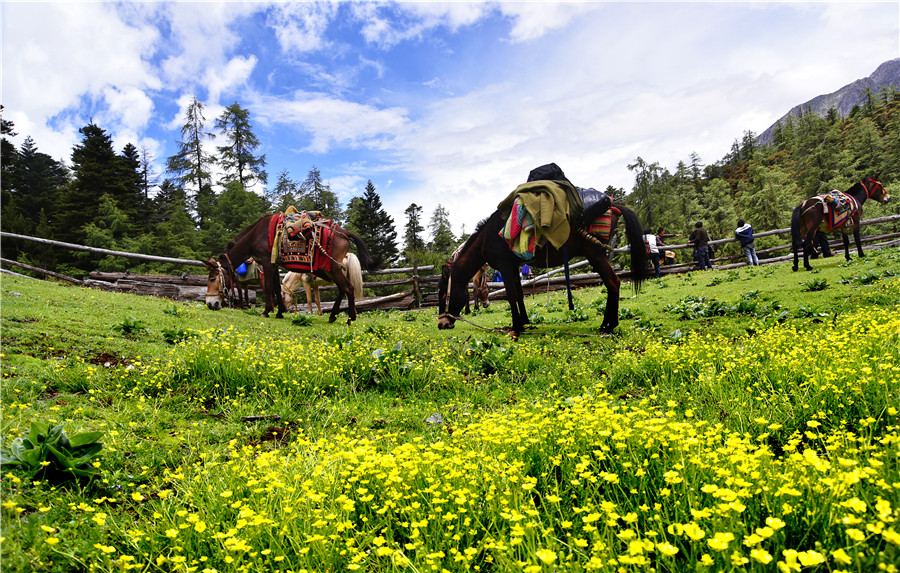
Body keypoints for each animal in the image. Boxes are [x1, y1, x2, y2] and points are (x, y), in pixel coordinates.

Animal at [215, 214, 376, 322]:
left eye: (214, 276)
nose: (214, 304)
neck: (256, 235)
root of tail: (343, 233)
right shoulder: (274, 264)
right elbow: (276, 288)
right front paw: (279, 312)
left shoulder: (267, 262)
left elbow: (269, 287)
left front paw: (266, 311)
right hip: (332, 271)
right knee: (343, 290)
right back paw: (333, 316)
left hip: (334, 269)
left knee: (348, 288)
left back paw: (350, 318)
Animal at [436, 204, 648, 336]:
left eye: (443, 296)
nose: (441, 324)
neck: (487, 239)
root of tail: (614, 207)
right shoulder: (514, 266)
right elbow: (519, 294)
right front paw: (524, 322)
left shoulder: (505, 266)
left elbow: (511, 295)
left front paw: (515, 327)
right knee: (612, 283)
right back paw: (606, 324)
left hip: (595, 254)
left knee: (613, 282)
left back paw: (609, 326)